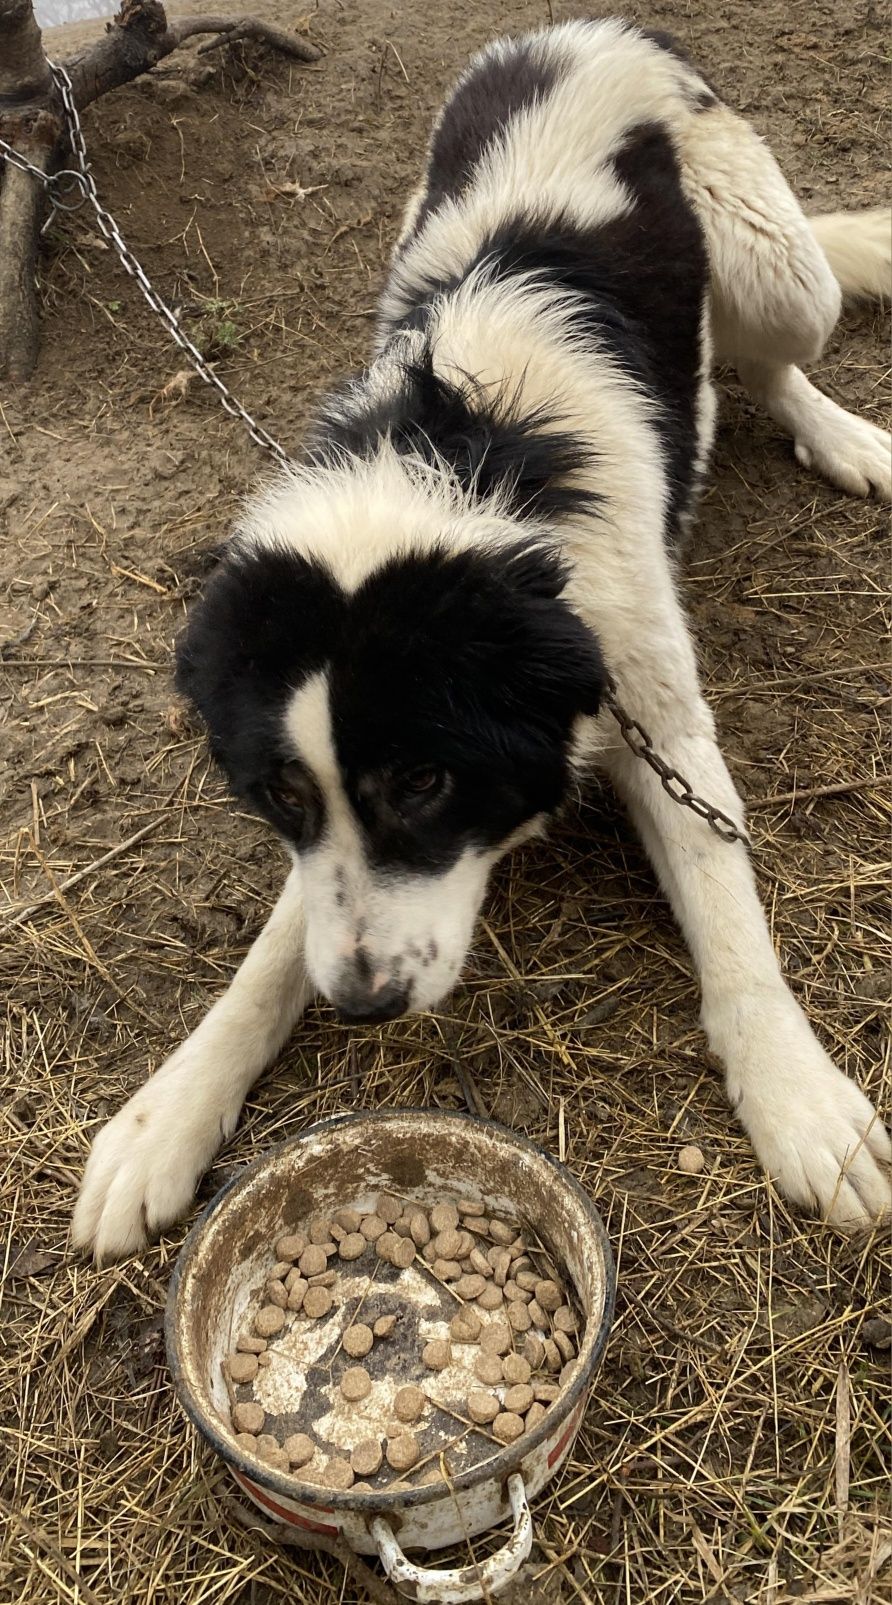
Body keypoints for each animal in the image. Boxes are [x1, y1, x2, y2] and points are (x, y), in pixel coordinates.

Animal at [72, 18, 885, 1258]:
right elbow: (274, 952)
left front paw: (802, 1102)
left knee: (768, 358)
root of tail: (580, 31)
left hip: (773, 267)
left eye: (423, 781)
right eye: (281, 796)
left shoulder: (657, 715)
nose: (362, 1004)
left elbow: (728, 910)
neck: (466, 450)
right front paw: (164, 1116)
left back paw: (838, 435)